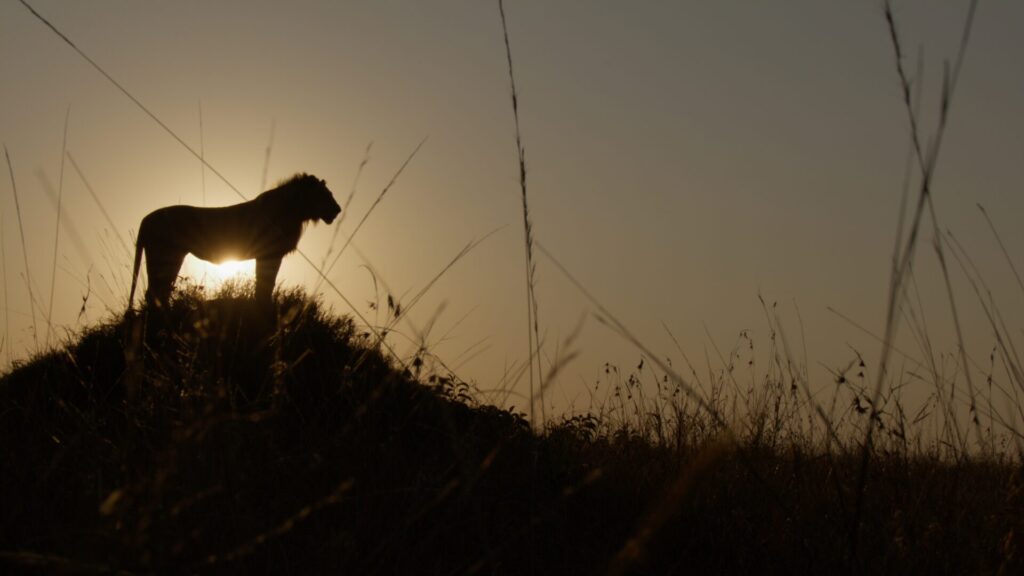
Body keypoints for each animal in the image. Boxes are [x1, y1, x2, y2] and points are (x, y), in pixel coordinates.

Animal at [127, 173, 341, 312]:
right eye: (325, 194)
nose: (338, 210)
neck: (294, 210)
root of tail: (146, 219)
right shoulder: (270, 253)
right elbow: (266, 283)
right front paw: (264, 307)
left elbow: (264, 283)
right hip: (165, 255)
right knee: (155, 292)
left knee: (158, 292)